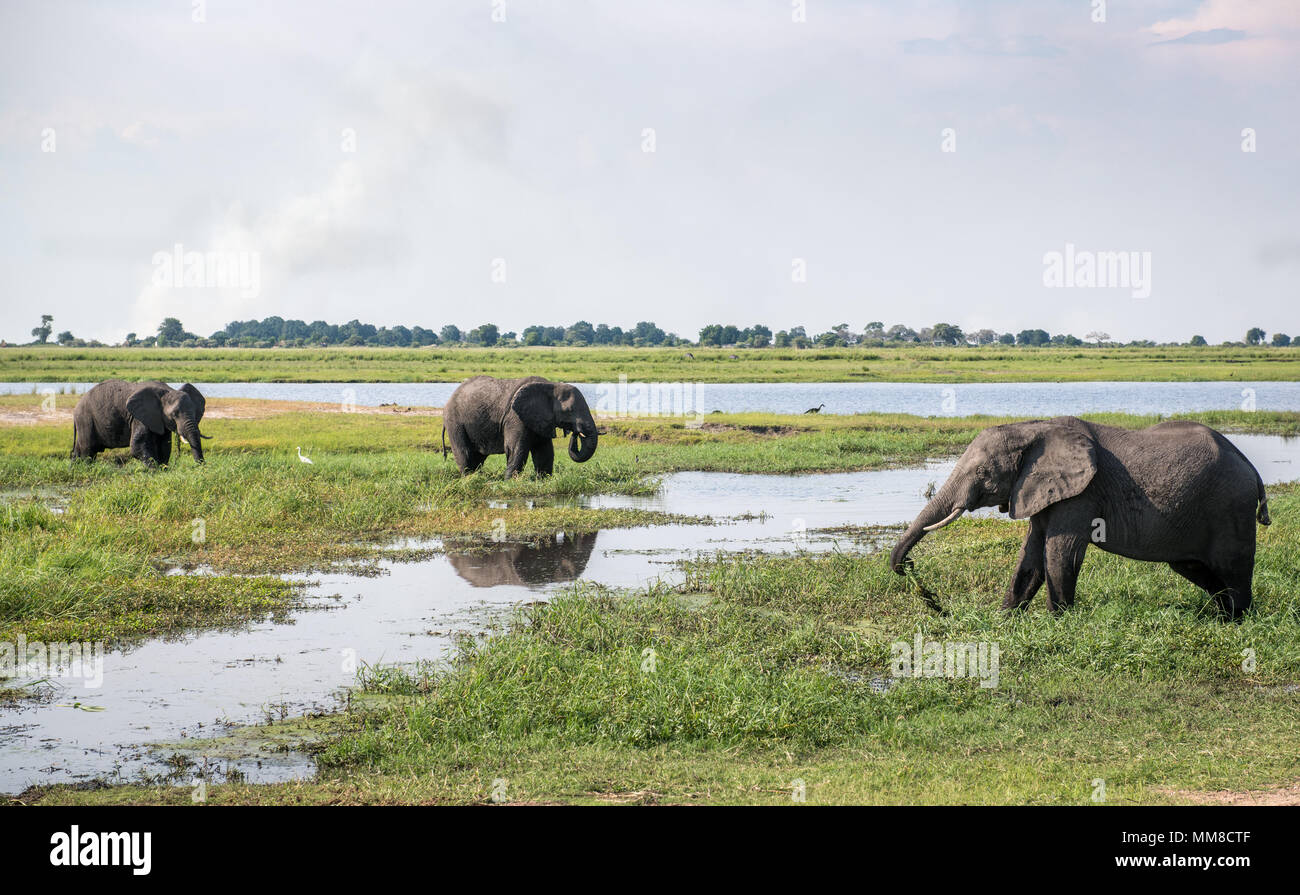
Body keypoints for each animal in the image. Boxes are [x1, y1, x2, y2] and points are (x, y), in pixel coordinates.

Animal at [72, 379, 209, 468]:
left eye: (196, 412)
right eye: (174, 414)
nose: (201, 466)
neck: (168, 391)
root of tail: (76, 407)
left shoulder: (159, 419)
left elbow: (164, 446)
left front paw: (164, 470)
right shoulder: (139, 417)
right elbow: (137, 446)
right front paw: (155, 471)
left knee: (80, 450)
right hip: (86, 420)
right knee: (88, 451)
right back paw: (86, 469)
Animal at [439, 374, 595, 478]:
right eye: (569, 411)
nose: (575, 432)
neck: (551, 385)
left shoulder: (540, 419)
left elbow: (544, 452)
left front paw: (543, 480)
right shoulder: (515, 418)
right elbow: (517, 450)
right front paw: (509, 482)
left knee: (478, 457)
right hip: (455, 423)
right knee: (465, 453)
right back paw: (469, 479)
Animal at [894, 416, 1268, 619]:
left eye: (983, 473)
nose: (908, 569)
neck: (1033, 428)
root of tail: (1250, 465)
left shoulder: (1082, 492)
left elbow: (1060, 552)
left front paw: (1058, 622)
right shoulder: (1041, 489)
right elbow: (1031, 555)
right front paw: (1005, 619)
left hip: (1230, 508)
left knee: (1233, 568)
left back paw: (1238, 620)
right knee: (1196, 569)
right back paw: (1220, 617)